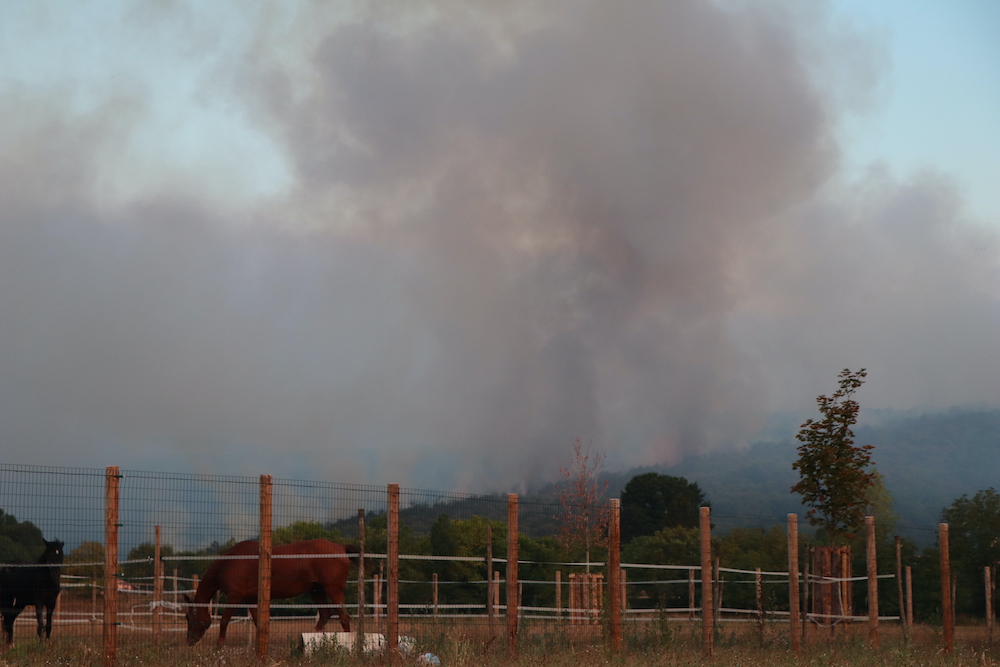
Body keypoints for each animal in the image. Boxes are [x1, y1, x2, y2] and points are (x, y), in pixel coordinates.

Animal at [183, 544, 360, 648]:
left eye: (188, 617)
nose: (189, 639)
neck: (228, 562)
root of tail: (341, 547)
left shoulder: (234, 597)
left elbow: (224, 621)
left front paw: (219, 646)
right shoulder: (251, 599)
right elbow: (258, 622)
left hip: (333, 590)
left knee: (344, 616)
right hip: (316, 591)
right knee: (325, 614)